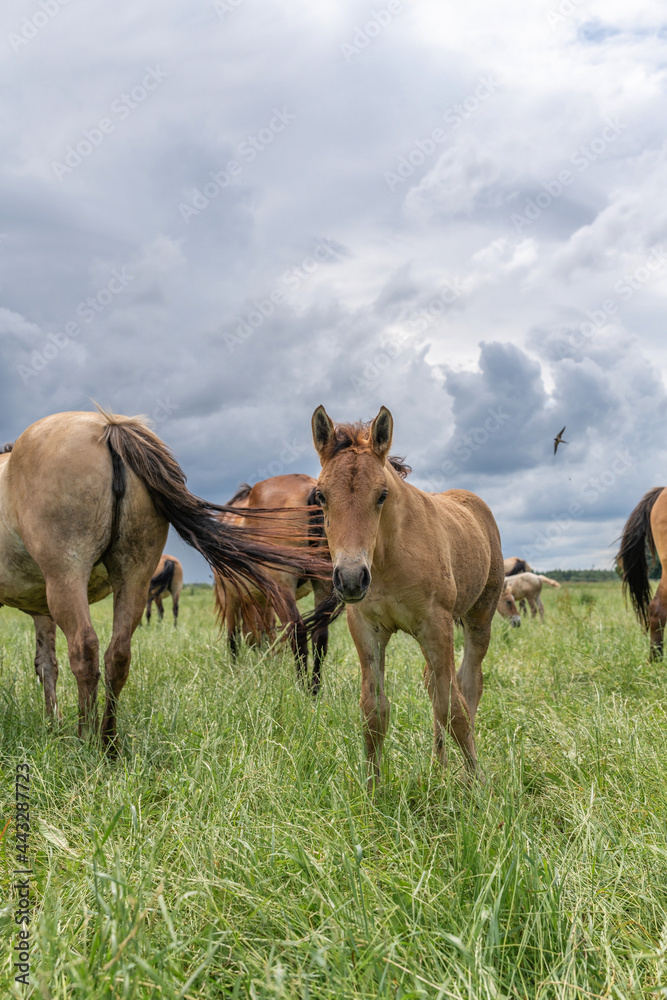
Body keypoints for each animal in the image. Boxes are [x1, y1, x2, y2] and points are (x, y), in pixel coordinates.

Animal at [214, 474, 333, 695]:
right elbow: (268, 631)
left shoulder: (231, 596)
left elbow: (232, 637)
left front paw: (234, 670)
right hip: (321, 581)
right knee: (320, 638)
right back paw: (314, 692)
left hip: (283, 586)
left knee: (298, 633)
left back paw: (302, 690)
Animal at [311, 404, 504, 786]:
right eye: (321, 496)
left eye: (382, 494)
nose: (351, 578)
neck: (388, 559)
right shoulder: (367, 628)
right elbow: (374, 710)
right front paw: (372, 788)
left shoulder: (436, 624)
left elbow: (453, 708)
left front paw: (478, 784)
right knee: (433, 685)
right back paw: (438, 766)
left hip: (479, 619)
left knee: (468, 685)